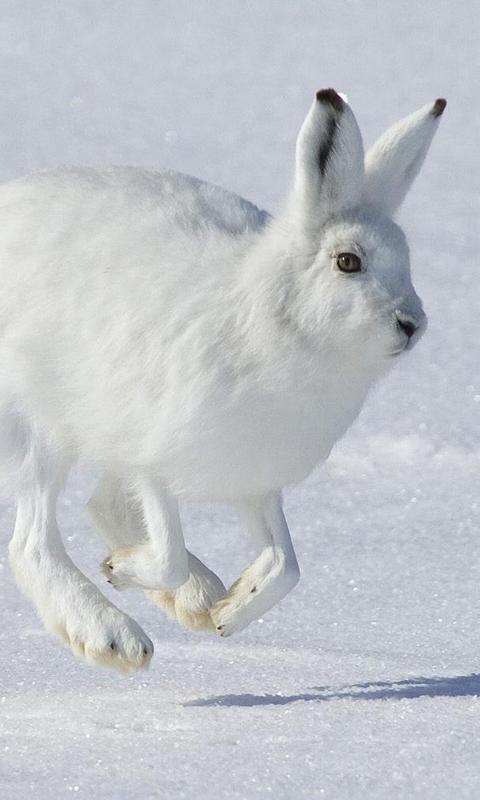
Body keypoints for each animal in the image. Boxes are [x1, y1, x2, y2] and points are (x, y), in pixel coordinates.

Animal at [0, 89, 445, 671]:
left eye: (407, 260)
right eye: (348, 262)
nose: (412, 323)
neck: (279, 323)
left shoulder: (255, 479)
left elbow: (286, 565)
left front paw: (228, 612)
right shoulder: (152, 456)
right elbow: (166, 551)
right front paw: (123, 571)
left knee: (100, 507)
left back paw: (198, 597)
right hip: (42, 425)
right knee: (33, 542)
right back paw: (114, 636)